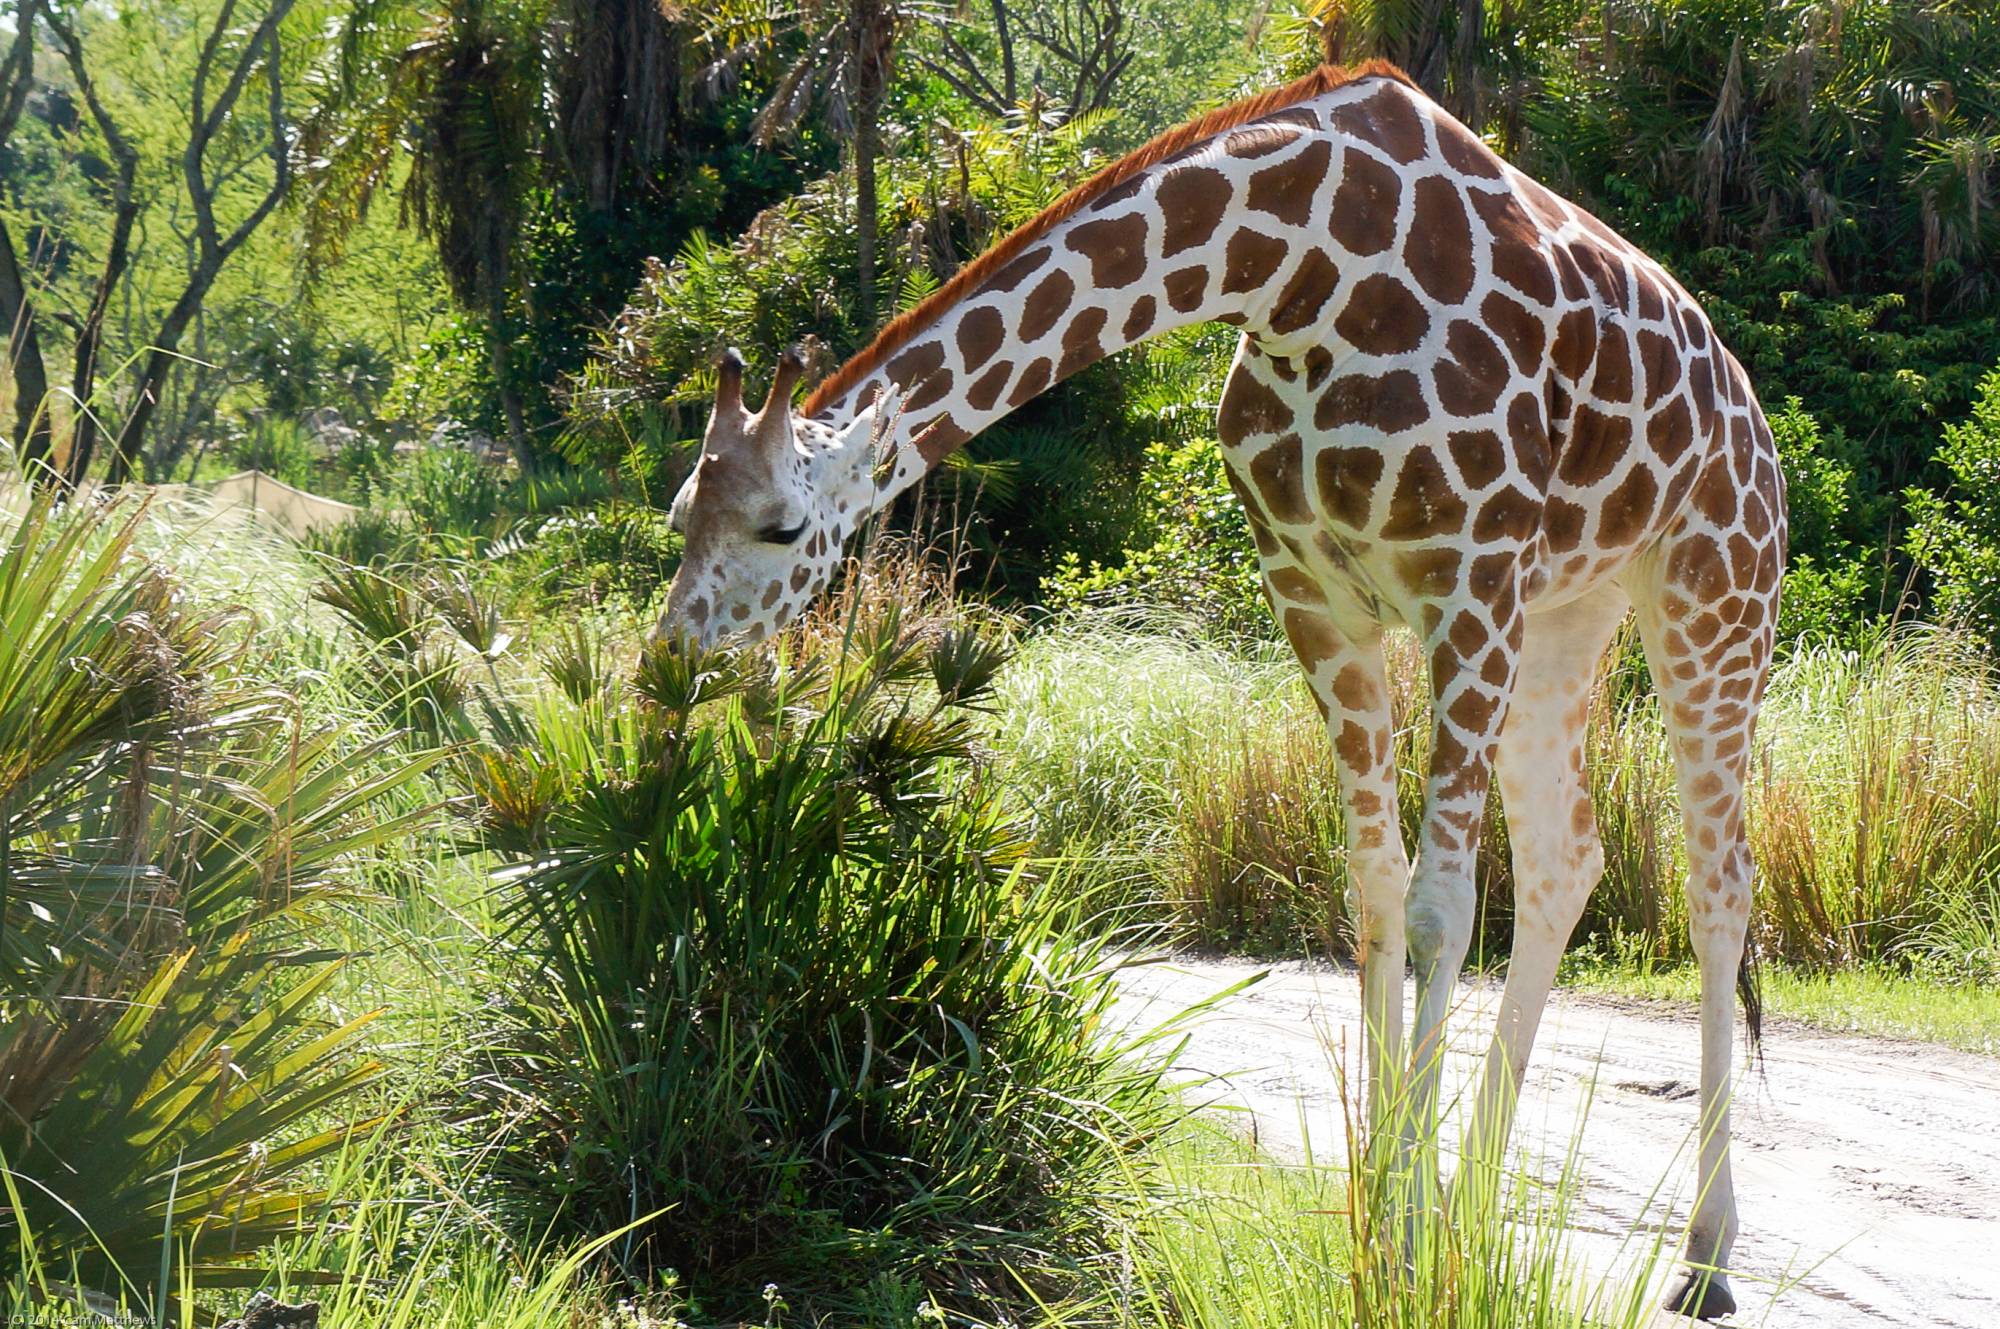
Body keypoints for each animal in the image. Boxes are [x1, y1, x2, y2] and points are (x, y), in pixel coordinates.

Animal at [664, 59, 1792, 1304]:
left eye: (777, 526)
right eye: (680, 509)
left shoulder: (1467, 581)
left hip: (1708, 593)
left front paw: (1403, 1256)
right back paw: (1472, 1215)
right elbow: (1373, 890)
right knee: (1566, 856)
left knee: (1717, 883)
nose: (668, 657)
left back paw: (1702, 1255)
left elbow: (1442, 908)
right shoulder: (1313, 594)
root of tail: (1751, 416)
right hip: (1565, 613)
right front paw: (1381, 1232)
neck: (1296, 271)